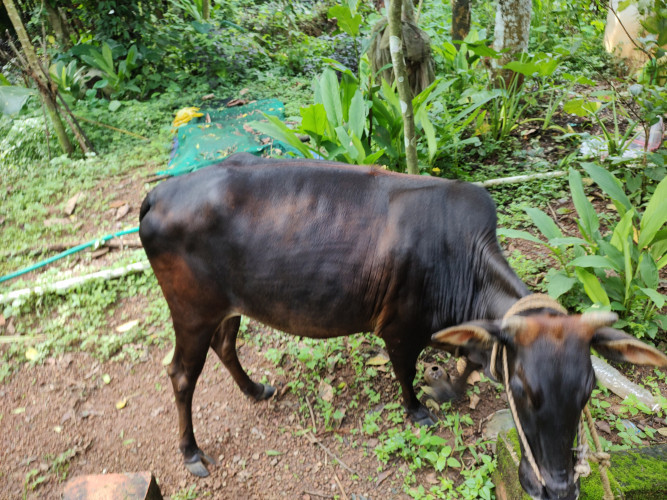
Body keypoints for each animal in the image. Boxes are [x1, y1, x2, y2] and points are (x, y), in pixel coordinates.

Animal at [139, 153, 667, 500]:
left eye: (588, 390)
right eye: (521, 390)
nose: (557, 488)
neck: (464, 266)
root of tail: (160, 192)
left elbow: (466, 362)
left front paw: (447, 388)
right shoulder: (399, 330)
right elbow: (406, 373)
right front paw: (419, 408)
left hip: (231, 307)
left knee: (227, 346)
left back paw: (255, 390)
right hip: (191, 312)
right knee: (181, 374)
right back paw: (191, 452)